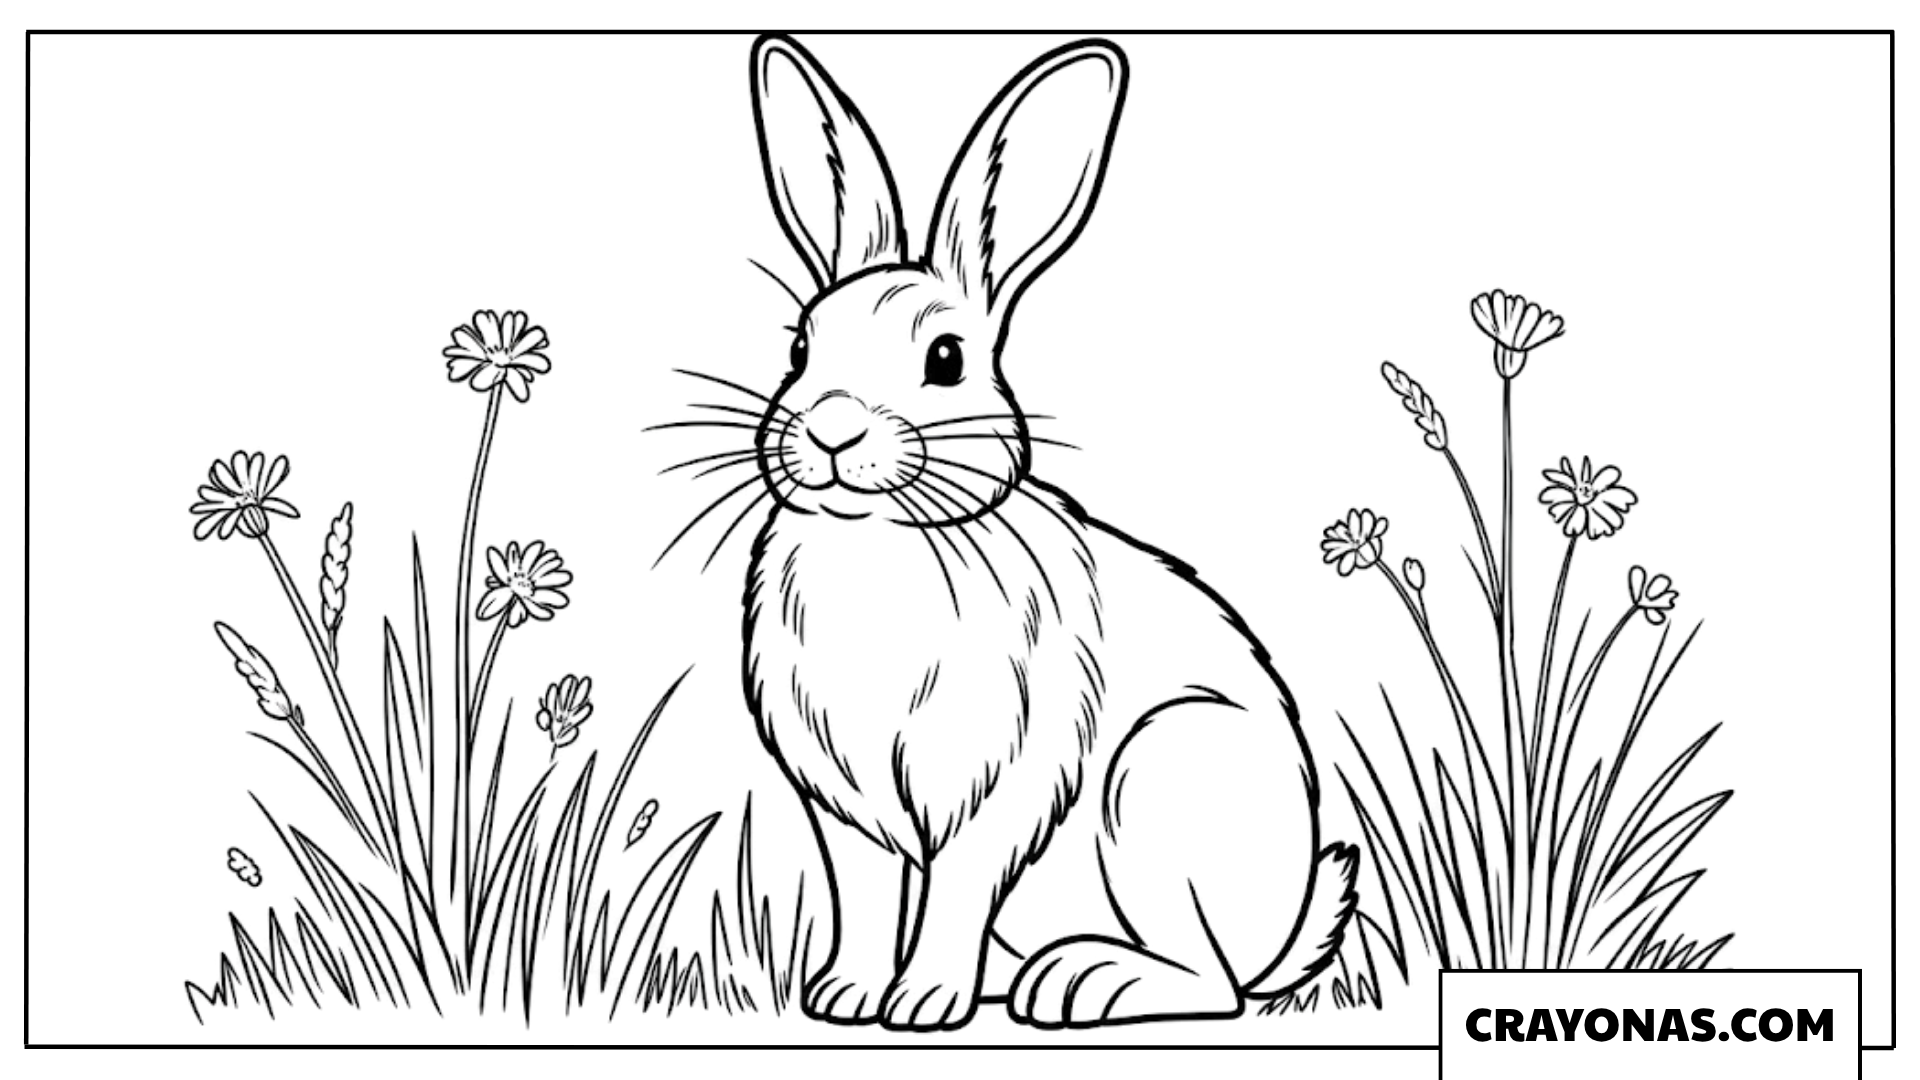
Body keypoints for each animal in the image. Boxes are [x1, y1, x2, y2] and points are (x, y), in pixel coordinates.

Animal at [739, 34, 1358, 1030]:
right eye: (799, 347)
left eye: (945, 359)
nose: (830, 430)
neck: (882, 548)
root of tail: (1284, 924)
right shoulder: (844, 804)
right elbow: (865, 897)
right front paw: (845, 996)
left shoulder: (1000, 786)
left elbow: (956, 887)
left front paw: (924, 1005)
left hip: (1158, 783)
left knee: (1214, 984)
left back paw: (1081, 982)